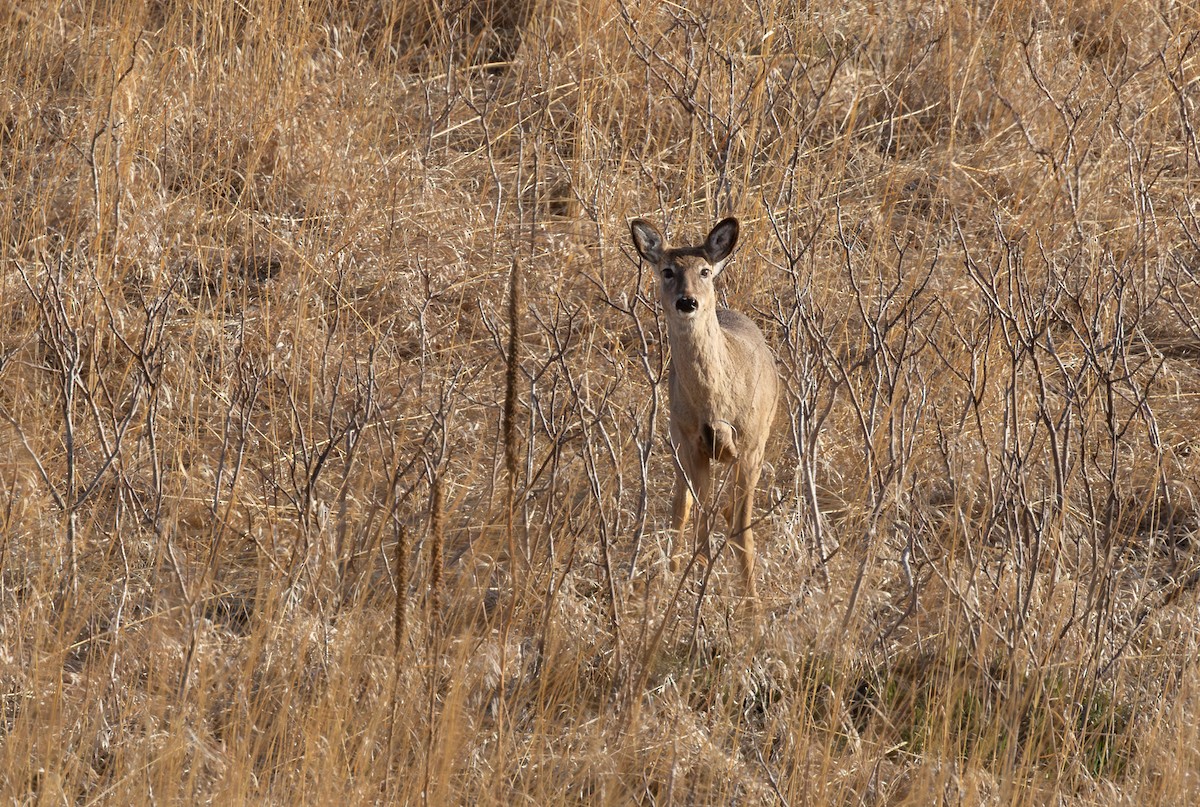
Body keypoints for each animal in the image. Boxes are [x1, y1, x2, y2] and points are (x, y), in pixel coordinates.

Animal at [629, 216, 779, 603]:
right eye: (667, 271)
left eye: (705, 270)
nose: (687, 301)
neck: (717, 401)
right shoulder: (690, 443)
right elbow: (696, 517)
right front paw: (694, 583)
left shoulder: (751, 445)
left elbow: (742, 530)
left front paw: (752, 605)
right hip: (680, 443)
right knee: (685, 511)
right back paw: (676, 574)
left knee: (723, 513)